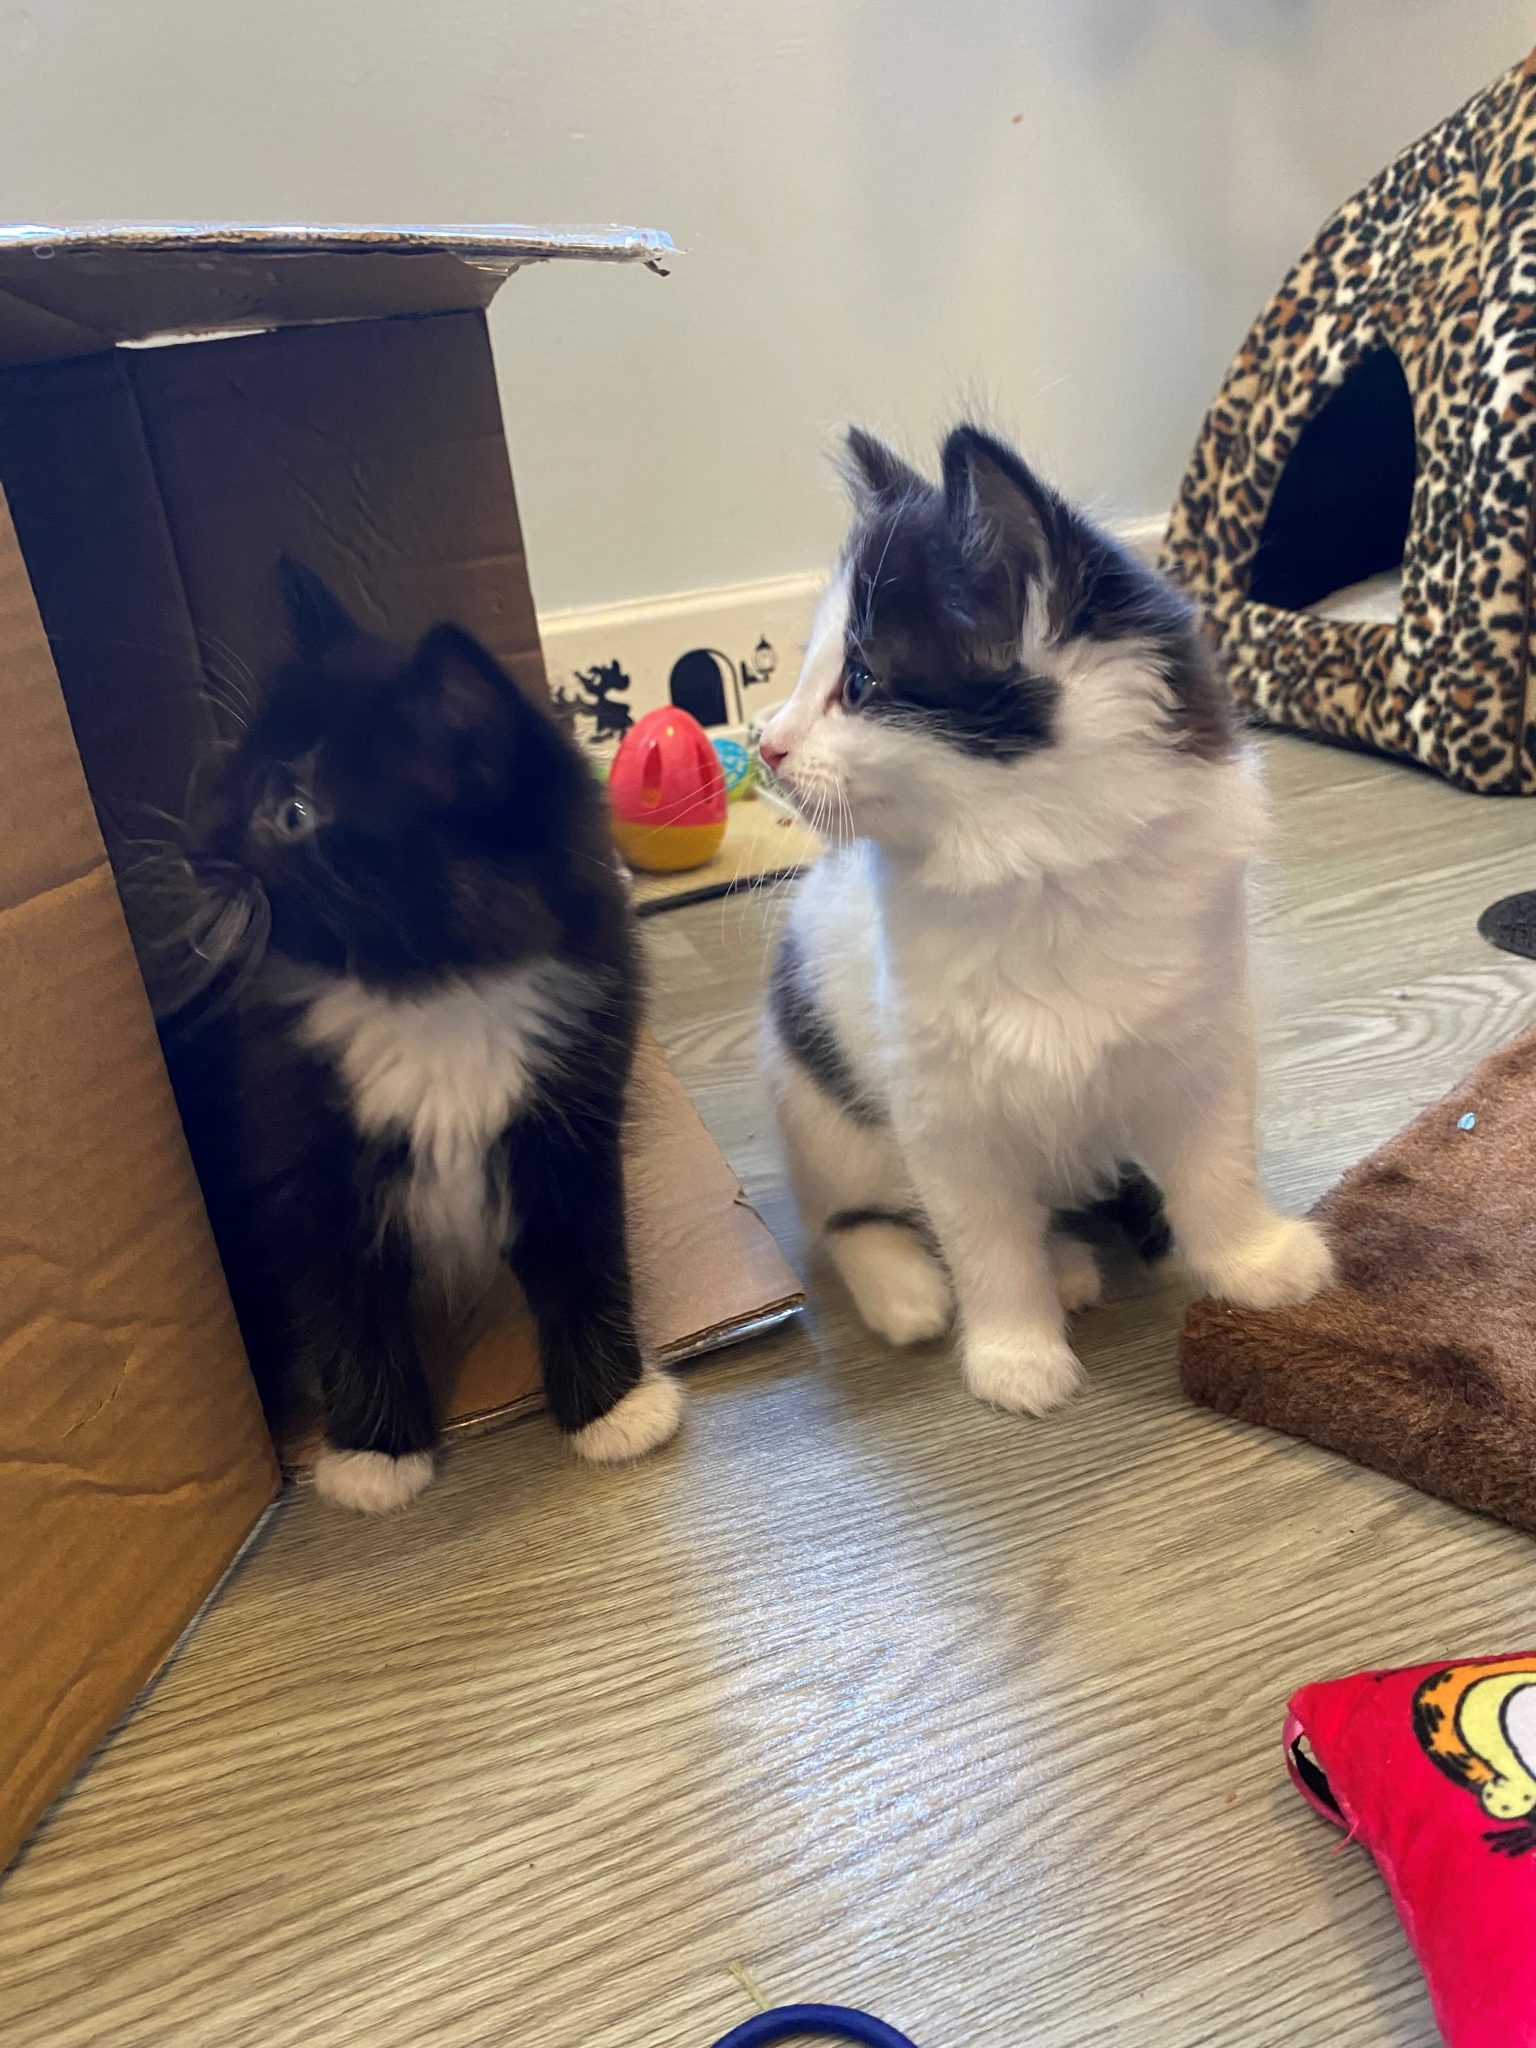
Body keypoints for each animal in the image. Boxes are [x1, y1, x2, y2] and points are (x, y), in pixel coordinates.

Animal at [140, 562, 681, 1512]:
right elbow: (340, 1297)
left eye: (293, 811)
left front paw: (613, 1408)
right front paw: (374, 1454)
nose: (194, 836)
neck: (430, 1000)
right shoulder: (296, 1147)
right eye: (232, 764)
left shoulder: (574, 1106)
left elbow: (585, 1250)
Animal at [758, 423, 1333, 1418]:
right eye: (807, 676)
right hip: (822, 1105)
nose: (765, 745)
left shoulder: (1203, 1044)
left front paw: (1253, 1266)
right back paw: (913, 1291)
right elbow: (986, 1243)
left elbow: (1217, 1172)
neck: (1033, 870)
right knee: (846, 1219)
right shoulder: (941, 1110)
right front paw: (1015, 1357)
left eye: (861, 682)